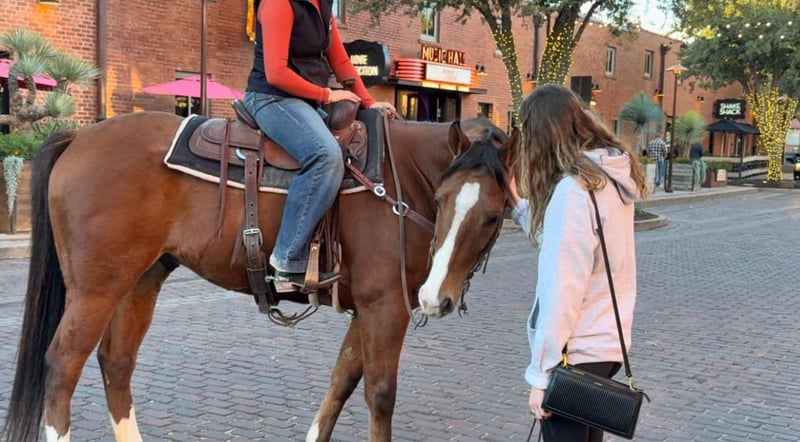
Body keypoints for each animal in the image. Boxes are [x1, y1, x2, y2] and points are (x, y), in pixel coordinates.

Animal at [0, 110, 510, 442]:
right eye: (442, 200)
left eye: (492, 215)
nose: (436, 298)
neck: (397, 179)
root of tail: (79, 136)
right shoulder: (385, 308)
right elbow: (380, 395)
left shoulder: (365, 310)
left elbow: (340, 384)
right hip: (96, 291)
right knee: (63, 366)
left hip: (141, 280)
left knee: (117, 364)